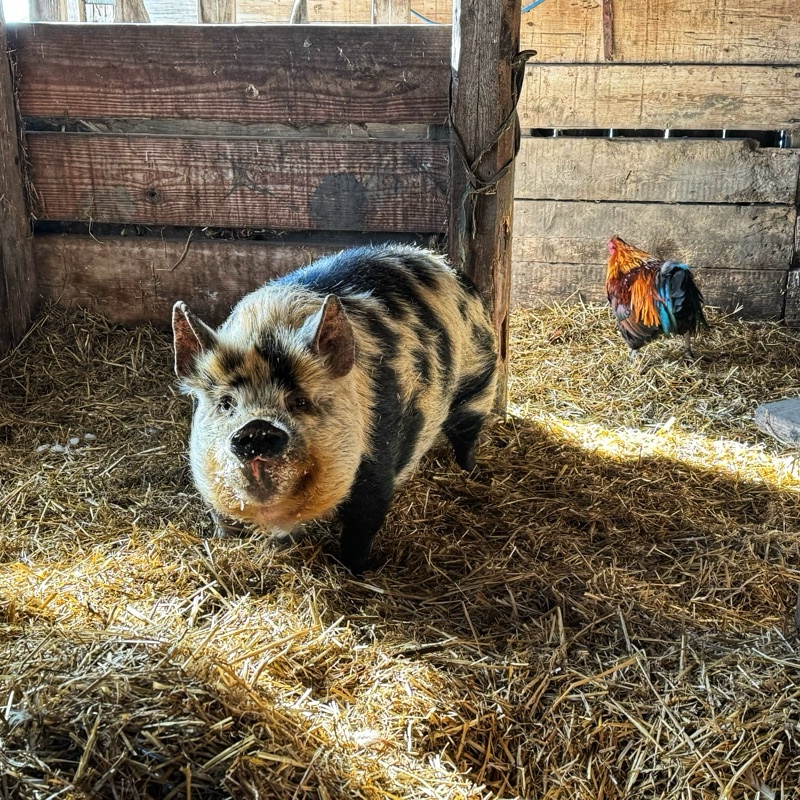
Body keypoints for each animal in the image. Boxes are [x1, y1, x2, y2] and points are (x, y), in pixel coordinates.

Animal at [172, 244, 497, 573]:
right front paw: (228, 544)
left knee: (467, 432)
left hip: (478, 383)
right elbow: (224, 521)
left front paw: (356, 571)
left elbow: (363, 523)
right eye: (226, 403)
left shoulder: (377, 461)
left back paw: (471, 472)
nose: (256, 429)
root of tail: (443, 264)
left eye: (300, 401)